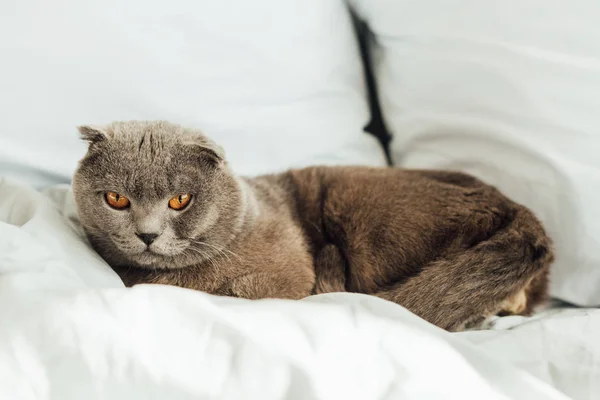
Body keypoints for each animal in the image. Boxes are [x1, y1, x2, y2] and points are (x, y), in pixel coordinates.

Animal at [74, 121, 552, 332]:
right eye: (116, 199)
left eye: (179, 200)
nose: (148, 234)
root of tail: (519, 212)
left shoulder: (283, 272)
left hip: (361, 210)